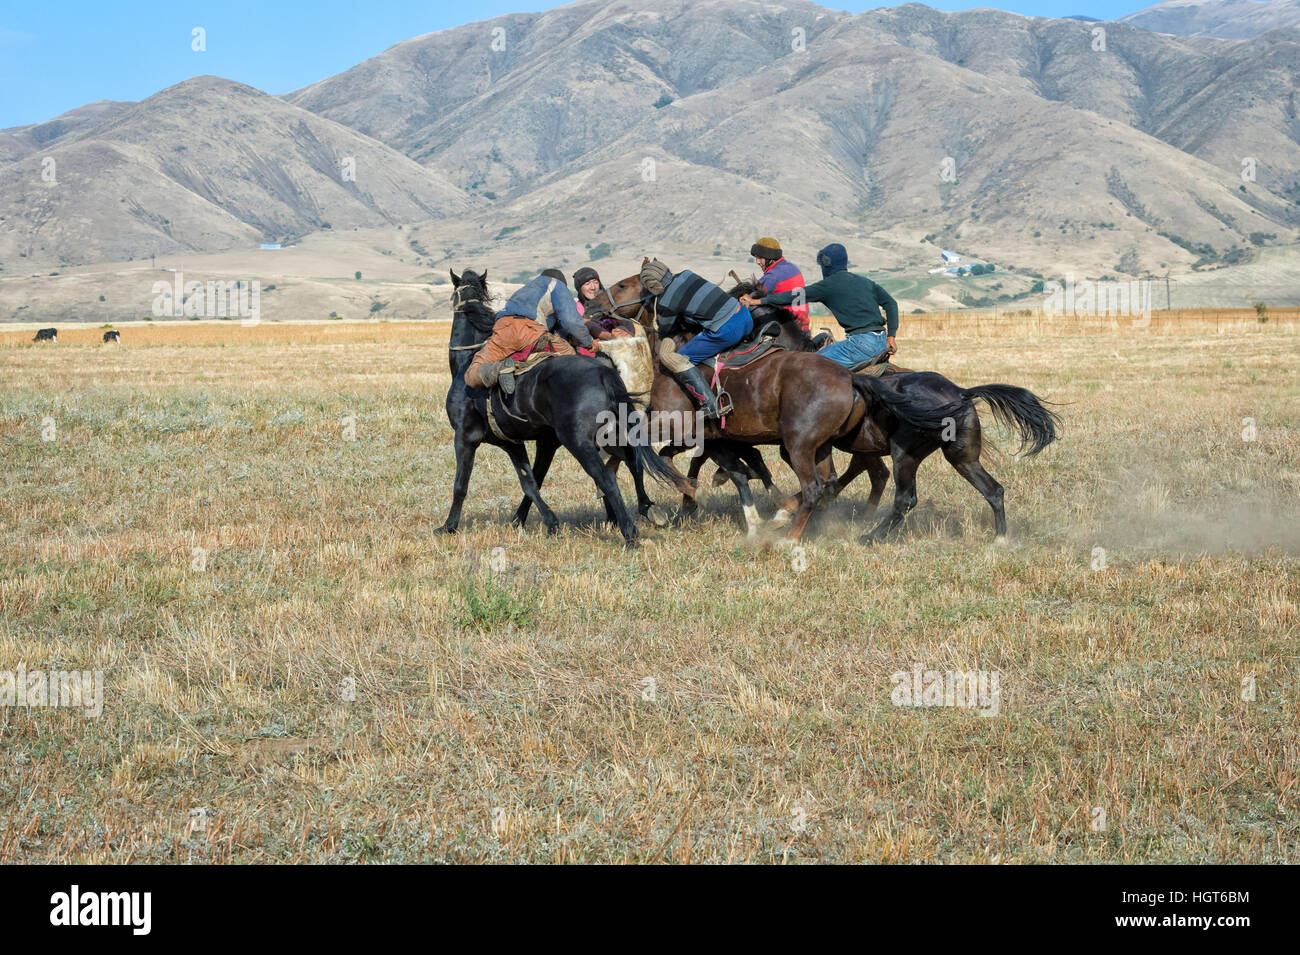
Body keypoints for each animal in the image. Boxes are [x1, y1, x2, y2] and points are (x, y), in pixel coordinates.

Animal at [439, 268, 686, 553]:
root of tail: (604, 374)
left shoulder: (465, 438)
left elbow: (461, 484)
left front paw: (449, 526)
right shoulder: (516, 443)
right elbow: (530, 482)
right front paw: (541, 521)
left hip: (579, 443)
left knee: (607, 478)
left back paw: (629, 532)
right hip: (611, 437)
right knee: (633, 463)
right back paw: (644, 510)